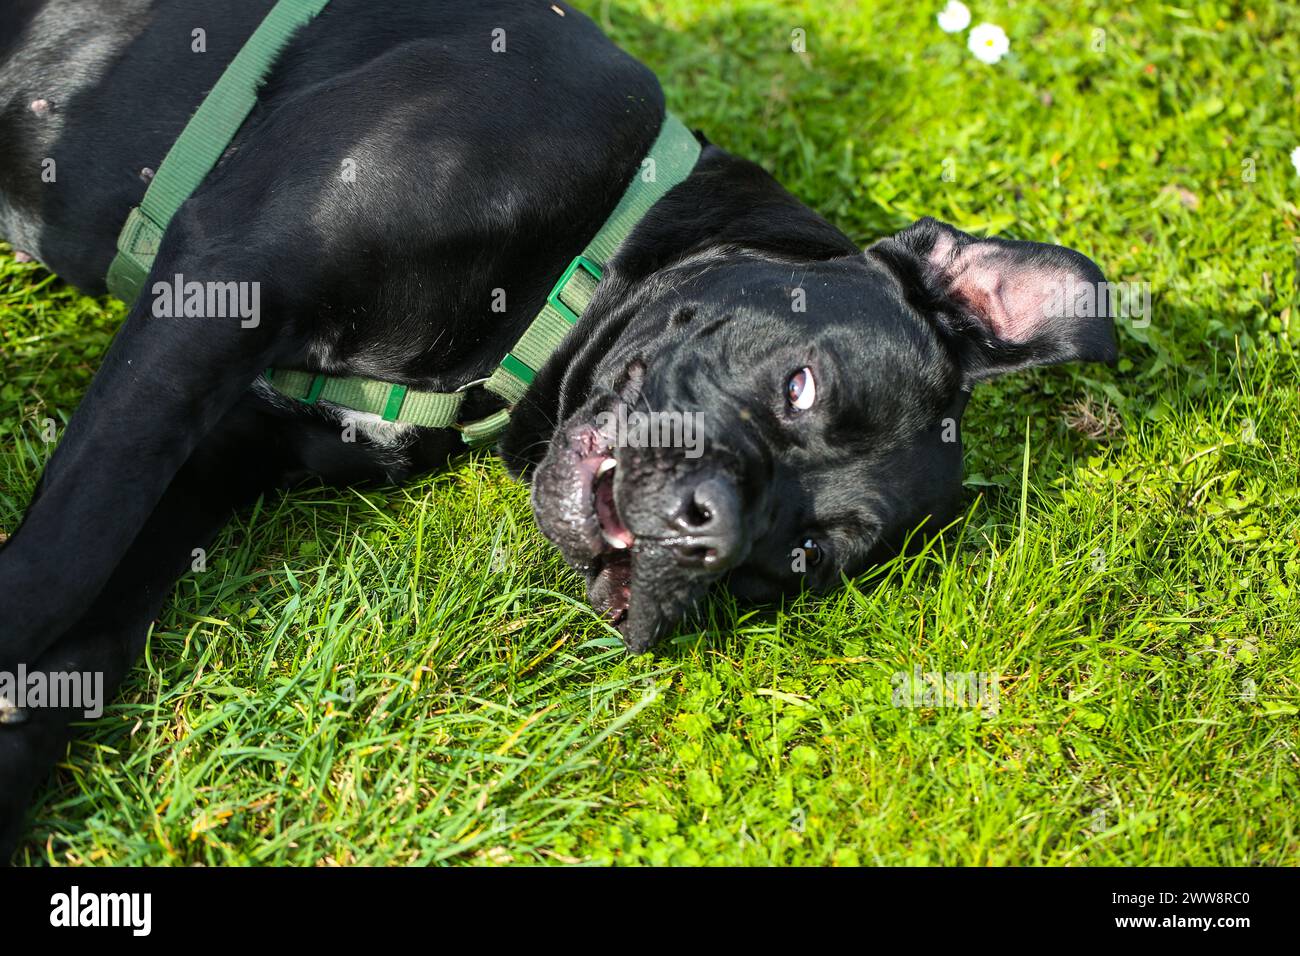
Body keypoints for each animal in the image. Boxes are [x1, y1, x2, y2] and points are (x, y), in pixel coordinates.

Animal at [0, 0, 1118, 858]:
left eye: (798, 559)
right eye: (801, 386)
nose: (711, 532)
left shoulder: (219, 455)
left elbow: (92, 626)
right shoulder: (224, 284)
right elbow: (62, 560)